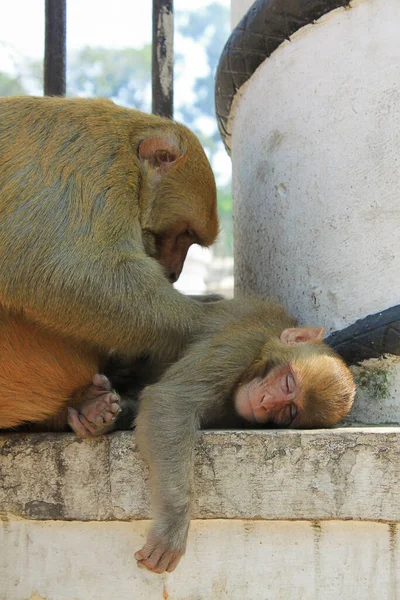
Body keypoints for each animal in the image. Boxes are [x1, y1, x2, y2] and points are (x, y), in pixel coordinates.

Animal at [67, 298, 354, 576]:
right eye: (287, 382)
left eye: (289, 412)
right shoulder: (238, 347)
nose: (264, 403)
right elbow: (172, 401)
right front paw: (173, 523)